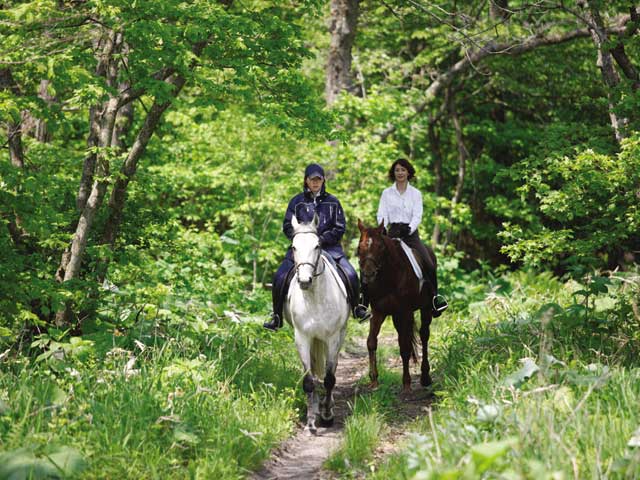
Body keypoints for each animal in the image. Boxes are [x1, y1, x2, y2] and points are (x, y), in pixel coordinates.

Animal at [284, 215, 350, 434]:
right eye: (294, 246)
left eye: (317, 245)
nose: (305, 281)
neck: (314, 298)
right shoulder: (302, 337)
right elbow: (308, 381)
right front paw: (311, 420)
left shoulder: (332, 338)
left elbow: (329, 378)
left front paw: (327, 415)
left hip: (339, 336)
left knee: (333, 368)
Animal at [357, 220, 436, 394]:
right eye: (360, 247)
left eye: (381, 247)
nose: (368, 274)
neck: (389, 277)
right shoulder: (378, 312)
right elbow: (371, 342)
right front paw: (374, 380)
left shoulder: (404, 312)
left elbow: (405, 347)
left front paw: (406, 384)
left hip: (425, 308)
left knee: (424, 336)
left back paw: (425, 377)